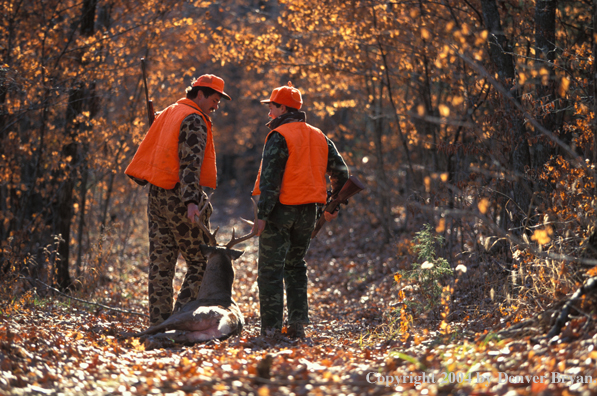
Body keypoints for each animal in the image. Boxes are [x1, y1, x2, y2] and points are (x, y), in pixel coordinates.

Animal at [125, 197, 256, 344]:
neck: (213, 293)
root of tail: (230, 320)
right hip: (197, 334)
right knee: (166, 335)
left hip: (192, 316)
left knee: (154, 330)